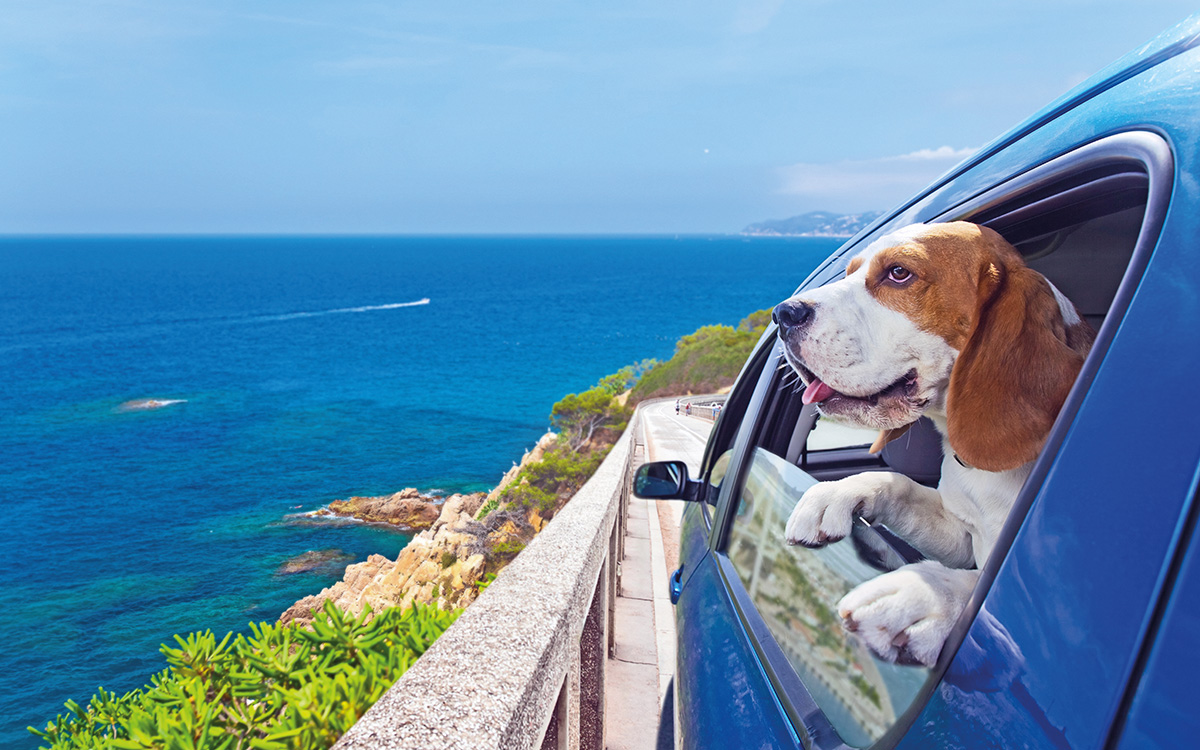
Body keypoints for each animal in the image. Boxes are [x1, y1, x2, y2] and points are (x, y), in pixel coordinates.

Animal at [777, 222, 1099, 667]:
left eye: (899, 273)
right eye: (850, 272)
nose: (783, 314)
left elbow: (978, 586)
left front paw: (923, 594)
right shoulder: (961, 534)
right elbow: (899, 484)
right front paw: (837, 493)